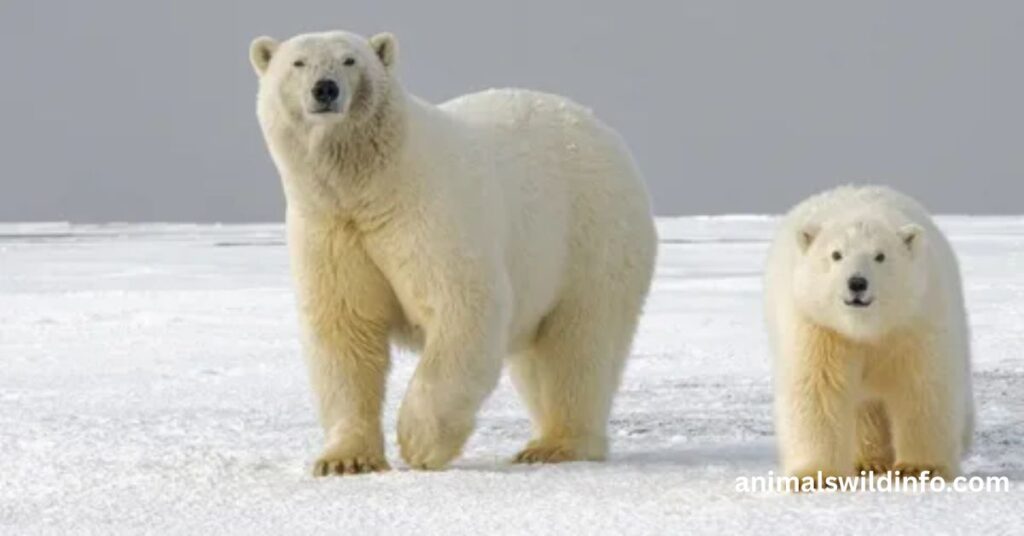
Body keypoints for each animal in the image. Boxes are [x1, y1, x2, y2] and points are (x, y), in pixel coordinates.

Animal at [248, 30, 657, 475]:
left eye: (349, 60)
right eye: (298, 63)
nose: (325, 89)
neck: (372, 185)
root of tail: (600, 128)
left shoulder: (429, 214)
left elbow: (462, 307)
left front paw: (419, 443)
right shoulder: (330, 230)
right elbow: (345, 330)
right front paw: (344, 459)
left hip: (591, 236)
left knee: (578, 344)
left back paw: (556, 445)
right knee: (538, 358)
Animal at [764, 185, 973, 481]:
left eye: (880, 256)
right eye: (836, 254)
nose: (857, 283)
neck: (866, 329)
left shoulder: (915, 321)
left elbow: (922, 387)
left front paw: (919, 468)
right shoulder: (818, 327)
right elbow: (818, 388)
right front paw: (816, 476)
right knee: (865, 409)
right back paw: (868, 462)